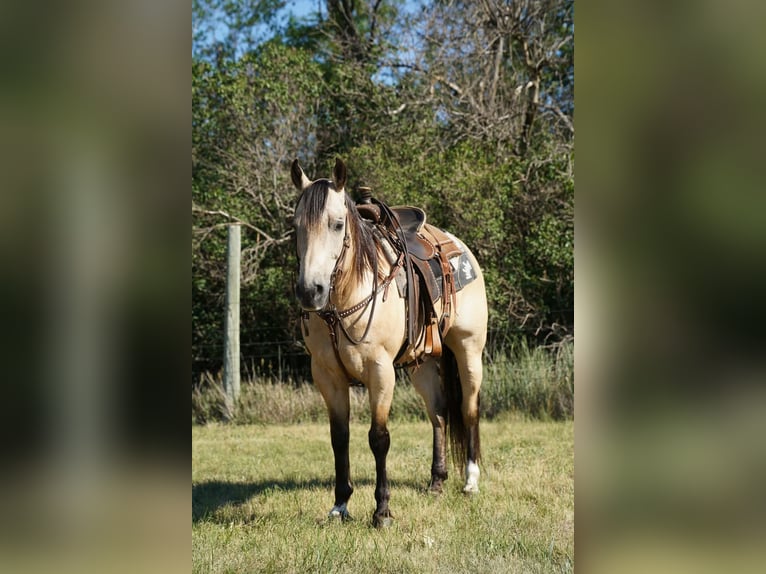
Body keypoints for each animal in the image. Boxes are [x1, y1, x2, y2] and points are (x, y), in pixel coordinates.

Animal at [290, 158, 487, 527]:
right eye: (296, 227)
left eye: (337, 224)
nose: (311, 291)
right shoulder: (326, 375)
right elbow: (339, 438)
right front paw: (340, 505)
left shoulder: (380, 371)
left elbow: (378, 438)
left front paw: (382, 510)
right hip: (421, 364)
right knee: (439, 414)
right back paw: (437, 480)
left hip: (469, 351)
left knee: (468, 410)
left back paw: (470, 480)